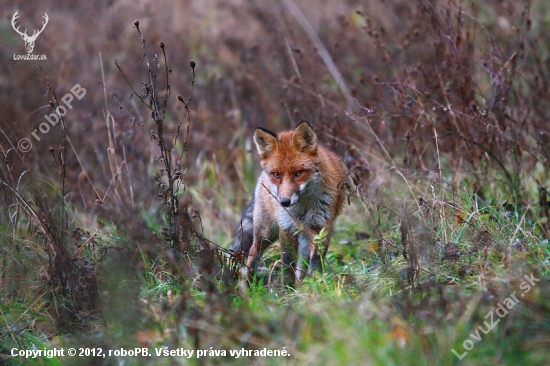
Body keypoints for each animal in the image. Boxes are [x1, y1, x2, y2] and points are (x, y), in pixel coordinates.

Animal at [231, 121, 348, 284]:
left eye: (298, 173)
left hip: (304, 235)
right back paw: (248, 282)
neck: (303, 206)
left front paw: (316, 283)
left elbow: (316, 261)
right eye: (276, 174)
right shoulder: (286, 226)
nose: (284, 202)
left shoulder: (322, 227)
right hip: (266, 231)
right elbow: (287, 263)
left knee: (303, 261)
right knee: (254, 251)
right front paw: (286, 287)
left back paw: (301, 282)